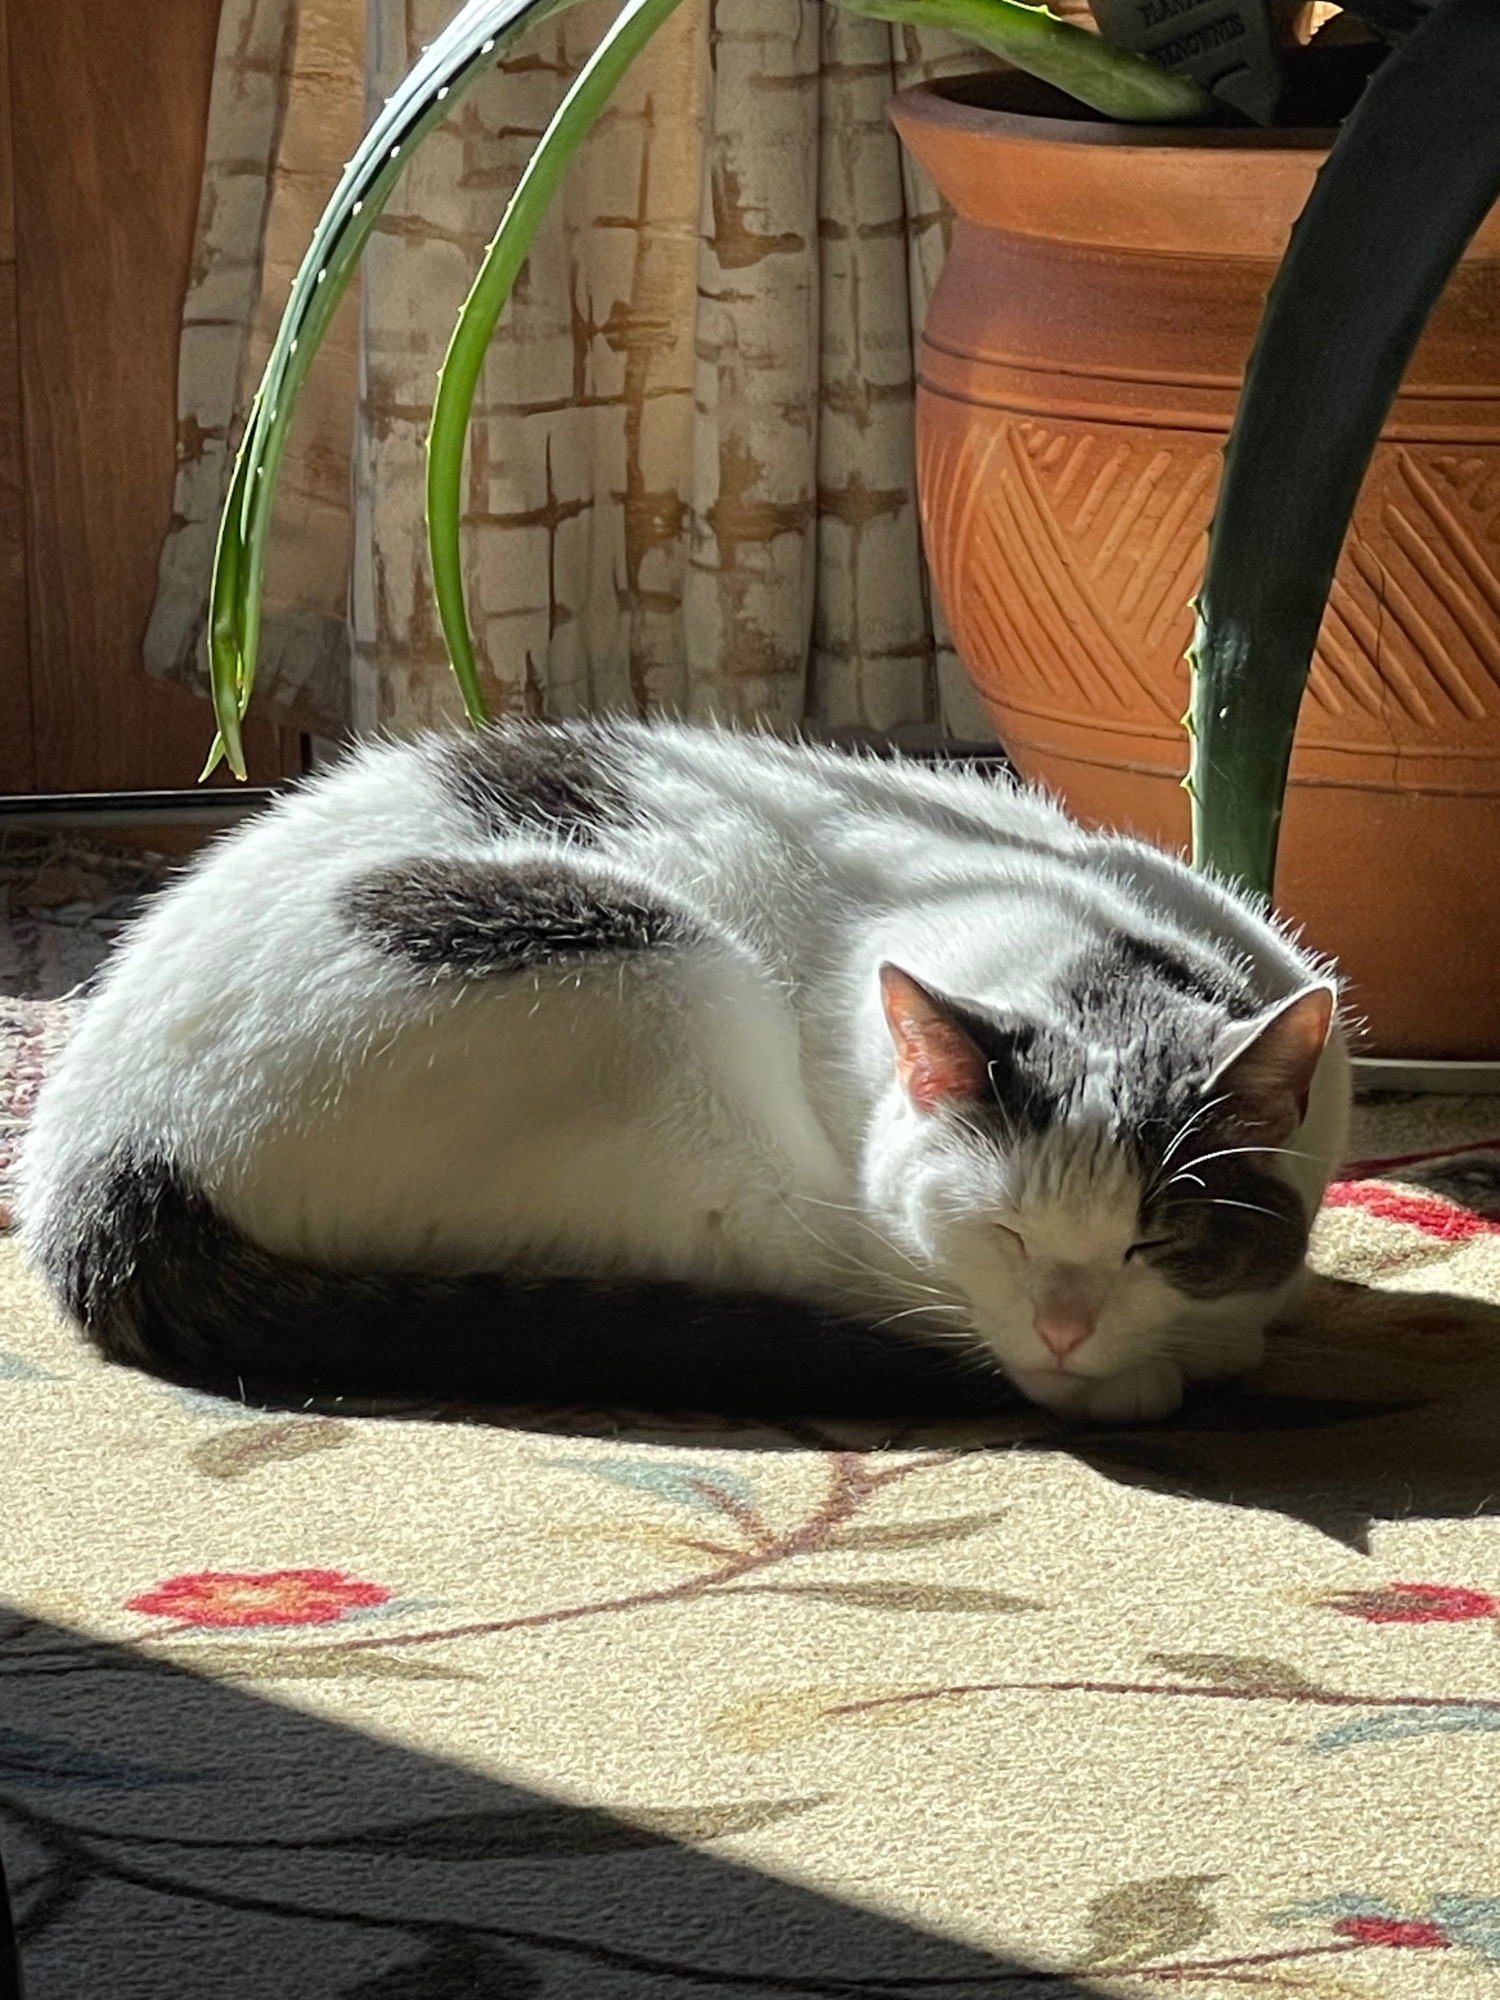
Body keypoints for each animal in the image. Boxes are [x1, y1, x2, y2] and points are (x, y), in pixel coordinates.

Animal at [14, 720, 1352, 1424]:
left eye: (1155, 1239)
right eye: (1002, 1228)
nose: (1068, 1328)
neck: (1090, 948)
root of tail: (98, 1156)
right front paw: (1164, 1359)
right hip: (650, 979)